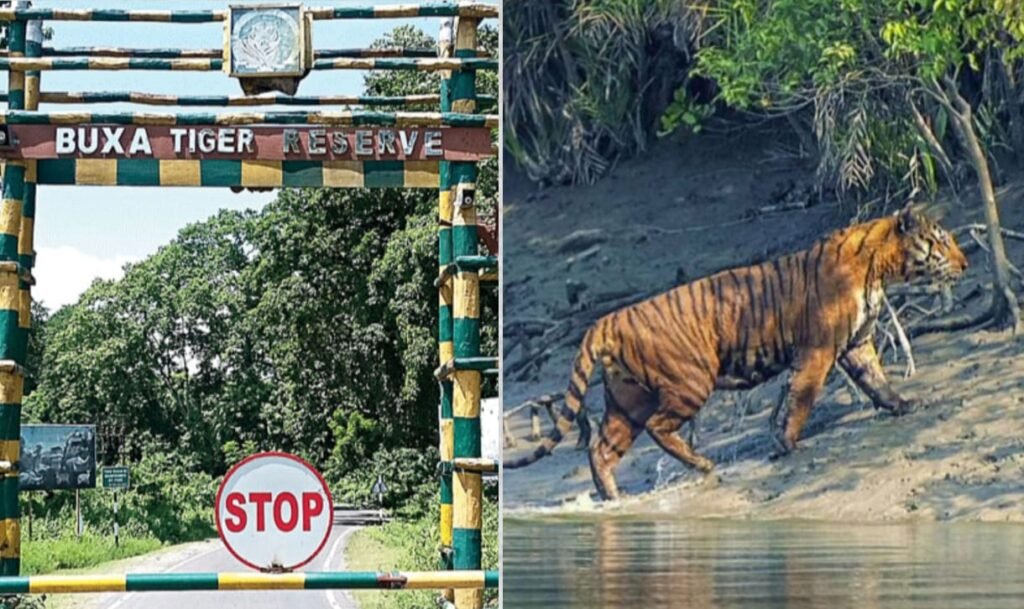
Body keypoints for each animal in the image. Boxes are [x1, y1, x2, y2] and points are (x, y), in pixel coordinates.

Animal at [504, 204, 968, 500]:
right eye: (941, 242)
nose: (965, 264)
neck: (878, 267)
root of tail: (607, 320)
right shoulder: (818, 350)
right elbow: (802, 397)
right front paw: (787, 444)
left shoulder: (855, 344)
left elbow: (876, 381)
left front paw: (904, 405)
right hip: (689, 382)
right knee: (657, 427)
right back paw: (703, 465)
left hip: (627, 400)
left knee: (600, 449)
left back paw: (613, 498)